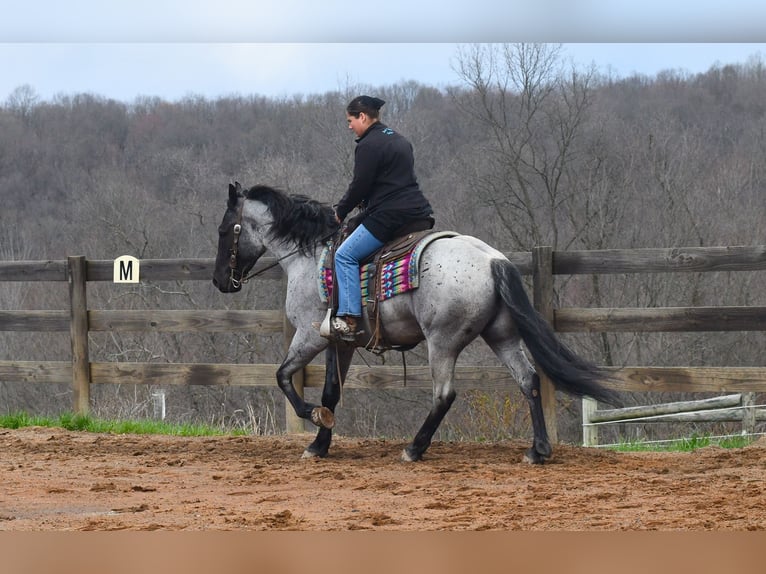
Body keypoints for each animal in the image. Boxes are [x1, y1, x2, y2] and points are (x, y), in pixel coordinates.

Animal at [212, 182, 622, 463]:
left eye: (224, 230)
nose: (220, 281)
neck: (312, 255)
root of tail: (493, 261)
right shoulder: (340, 342)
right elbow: (331, 391)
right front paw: (320, 443)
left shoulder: (310, 336)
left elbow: (283, 376)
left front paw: (314, 418)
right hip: (501, 336)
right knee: (529, 381)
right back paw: (538, 450)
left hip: (442, 341)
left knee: (444, 394)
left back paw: (414, 447)